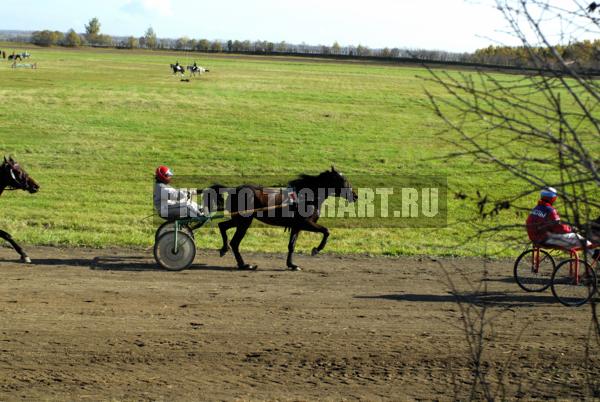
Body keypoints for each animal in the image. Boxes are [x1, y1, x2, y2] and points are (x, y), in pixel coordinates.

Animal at [209, 166, 356, 270]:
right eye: (343, 181)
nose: (355, 196)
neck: (306, 196)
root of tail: (234, 189)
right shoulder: (306, 223)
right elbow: (326, 231)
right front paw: (316, 250)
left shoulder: (297, 226)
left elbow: (291, 245)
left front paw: (292, 265)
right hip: (244, 221)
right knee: (234, 242)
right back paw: (244, 265)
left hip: (239, 219)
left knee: (222, 226)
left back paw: (225, 249)